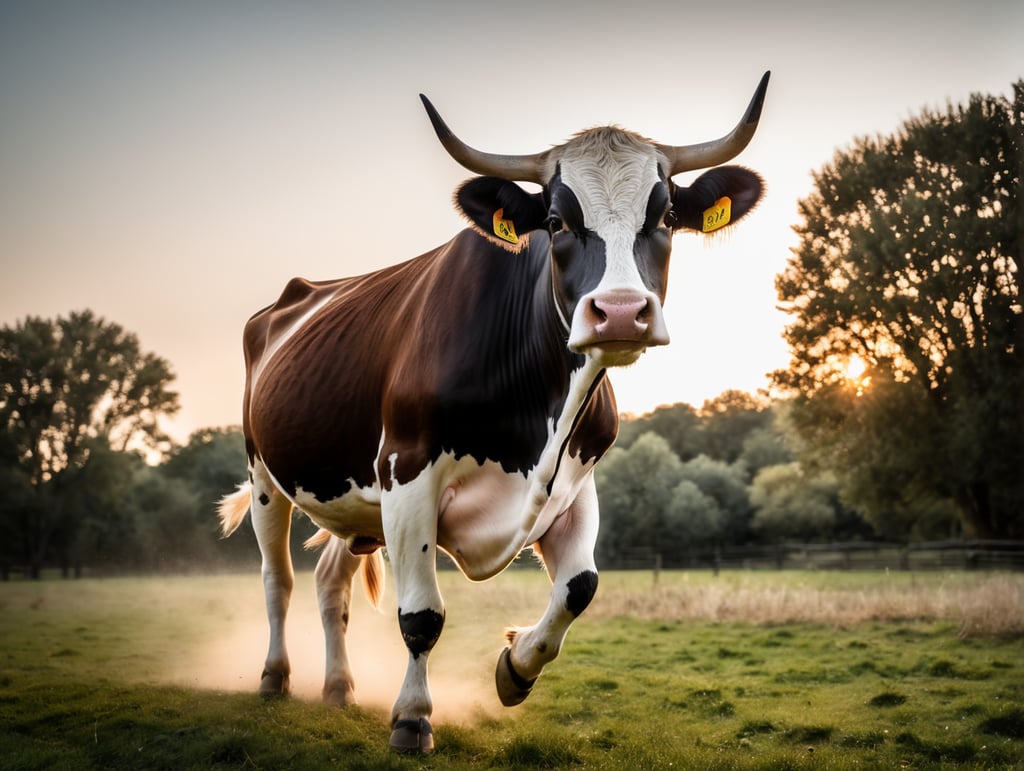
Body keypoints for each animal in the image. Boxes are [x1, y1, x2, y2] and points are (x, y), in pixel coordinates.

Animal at [218, 72, 769, 753]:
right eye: (556, 221)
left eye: (666, 215)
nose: (619, 311)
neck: (531, 417)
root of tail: (295, 294)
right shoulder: (406, 474)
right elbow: (421, 615)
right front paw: (412, 718)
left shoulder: (573, 480)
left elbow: (580, 587)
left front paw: (516, 666)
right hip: (265, 476)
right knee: (278, 580)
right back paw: (274, 677)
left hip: (353, 504)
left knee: (328, 583)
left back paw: (340, 688)